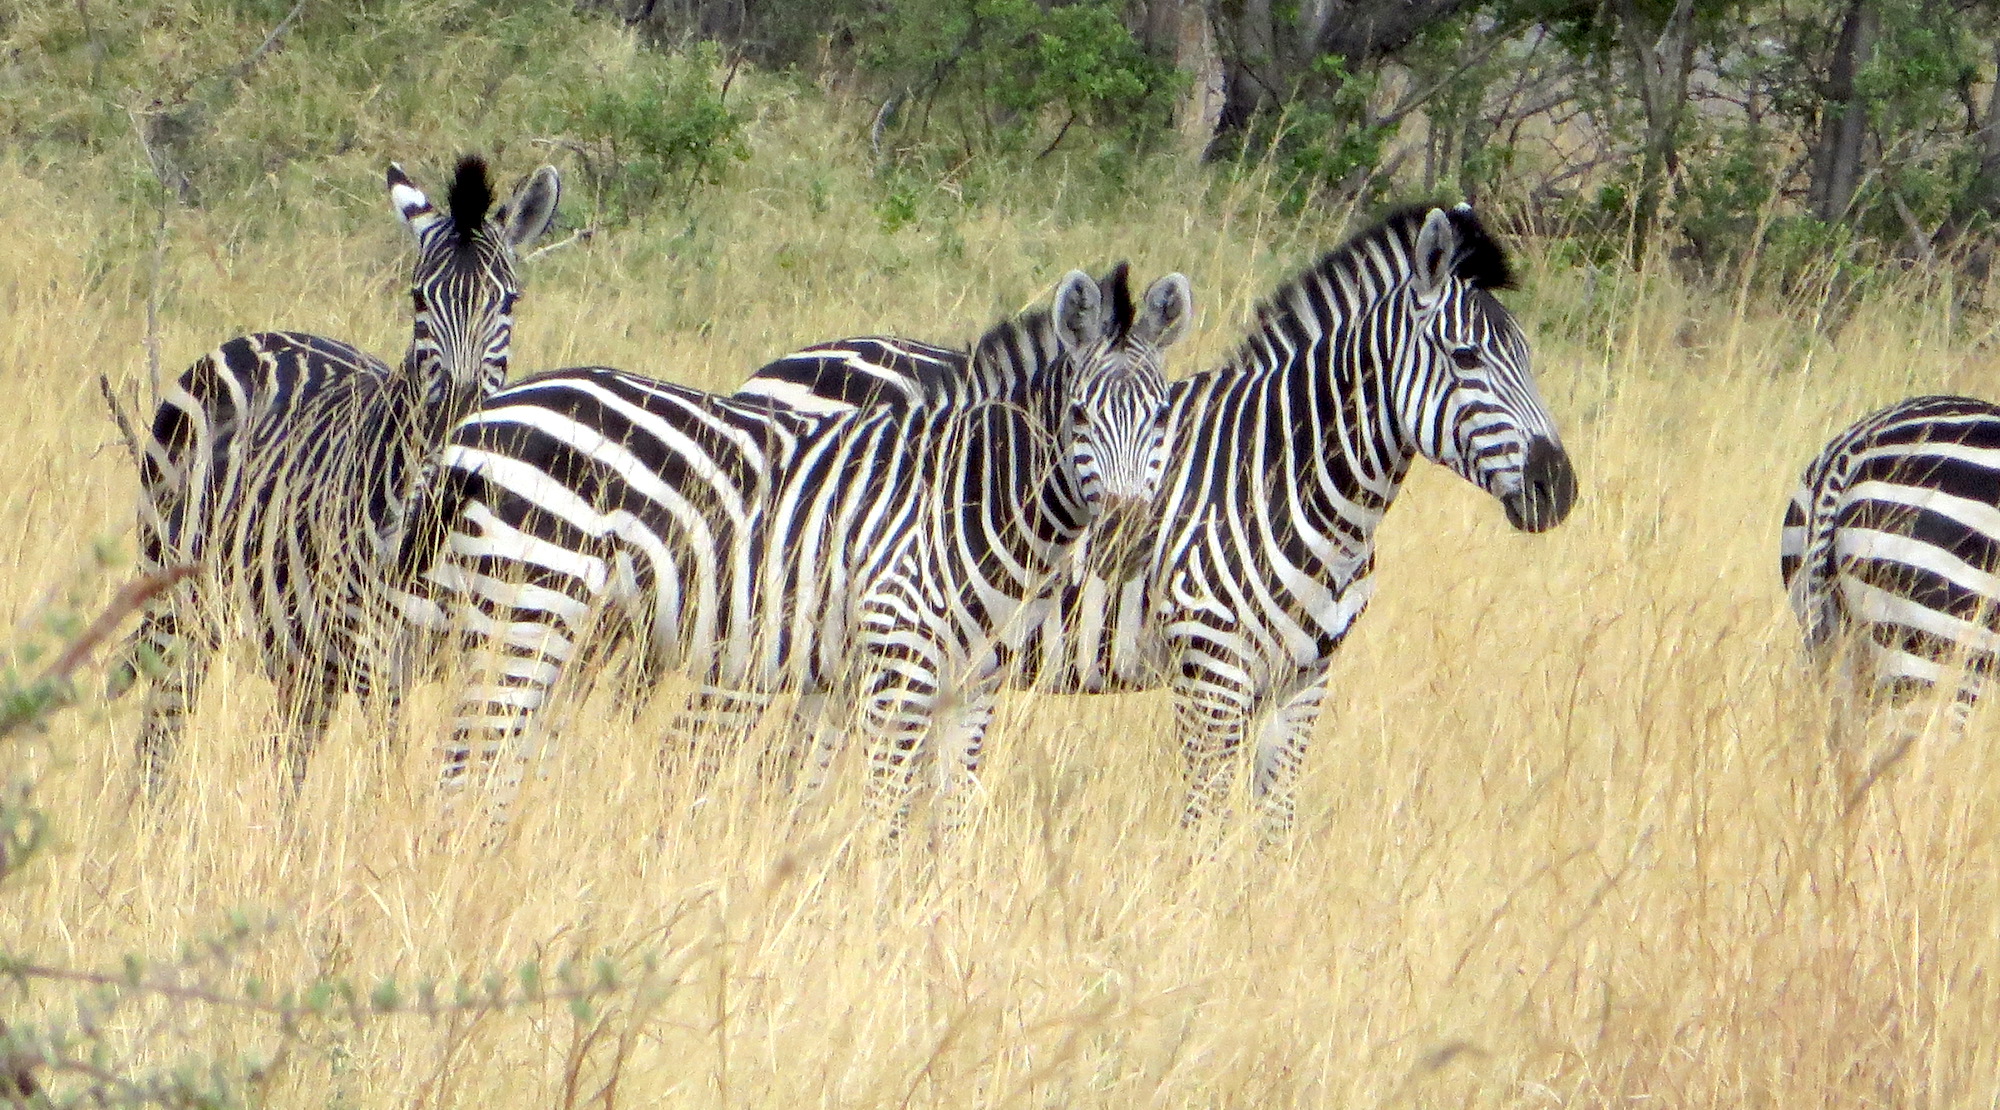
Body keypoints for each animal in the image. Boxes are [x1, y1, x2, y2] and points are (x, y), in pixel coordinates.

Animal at [123, 156, 564, 800]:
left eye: (508, 301)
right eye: (417, 298)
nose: (457, 411)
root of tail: (262, 336)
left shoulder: (480, 643)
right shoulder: (376, 654)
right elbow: (391, 764)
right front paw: (393, 823)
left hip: (296, 645)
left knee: (287, 753)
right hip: (177, 600)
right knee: (162, 727)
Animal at [398, 268, 1192, 824]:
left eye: (1161, 417)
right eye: (1080, 415)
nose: (1126, 536)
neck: (970, 495)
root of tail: (482, 415)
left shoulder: (971, 687)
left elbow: (951, 817)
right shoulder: (898, 670)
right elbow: (885, 815)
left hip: (566, 626)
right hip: (529, 603)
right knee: (471, 761)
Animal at [736, 206, 1576, 832]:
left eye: (1531, 358)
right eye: (1466, 359)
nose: (1558, 487)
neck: (1281, 477)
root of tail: (779, 367)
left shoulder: (1307, 678)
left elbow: (1274, 825)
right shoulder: (1212, 669)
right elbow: (1204, 821)